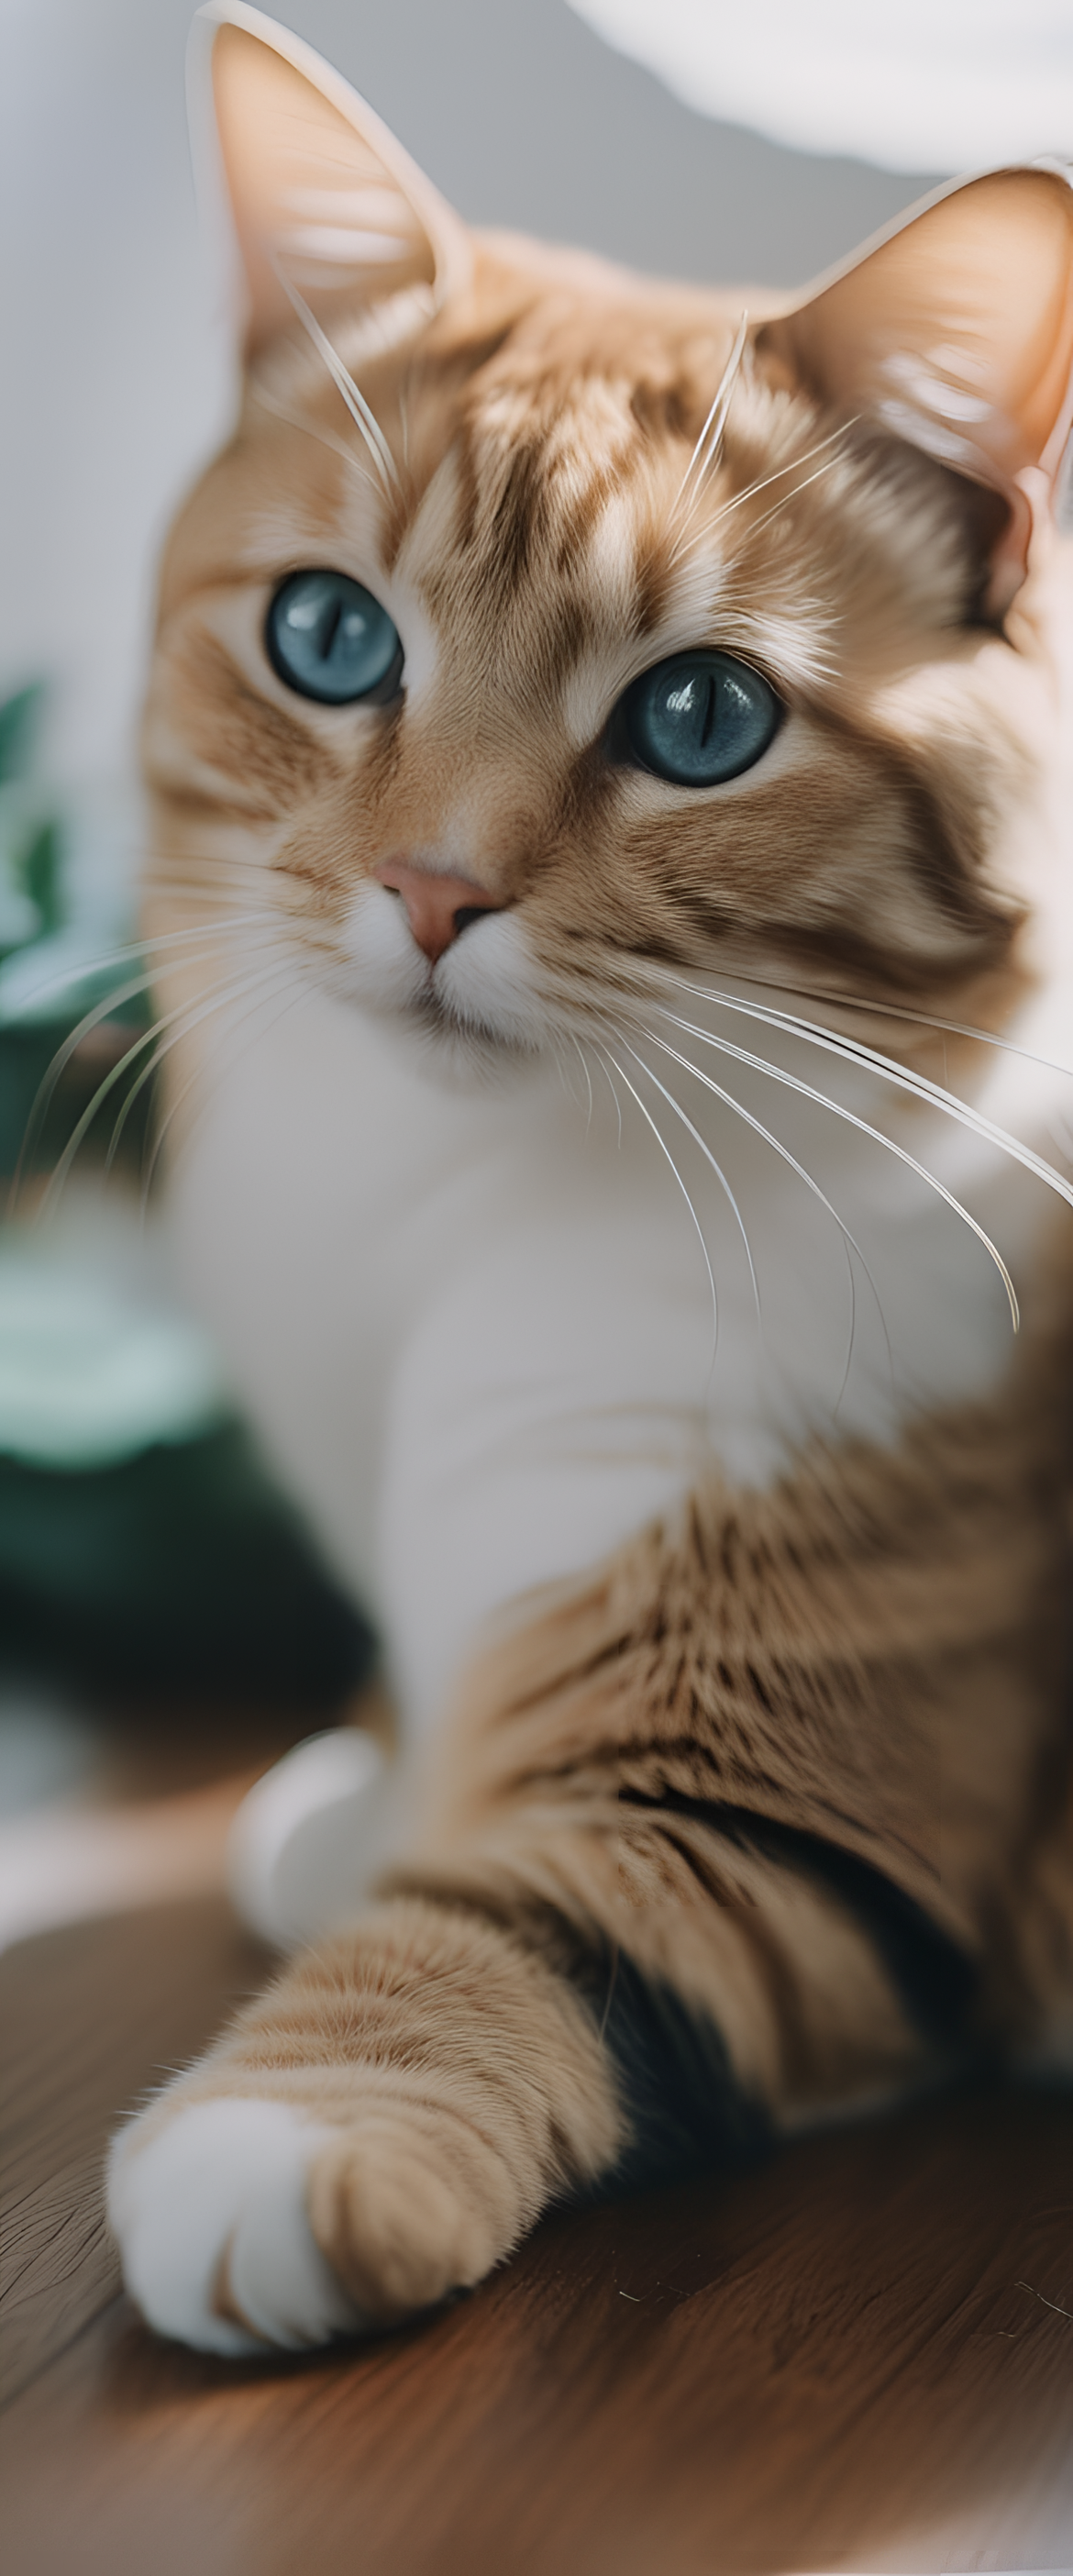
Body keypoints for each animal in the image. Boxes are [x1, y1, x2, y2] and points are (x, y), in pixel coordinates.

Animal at [104, 0, 1070, 2359]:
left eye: (702, 717)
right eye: (331, 639)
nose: (436, 892)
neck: (466, 1220)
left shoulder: (798, 1788)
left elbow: (531, 1919)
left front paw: (288, 2139)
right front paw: (372, 1777)